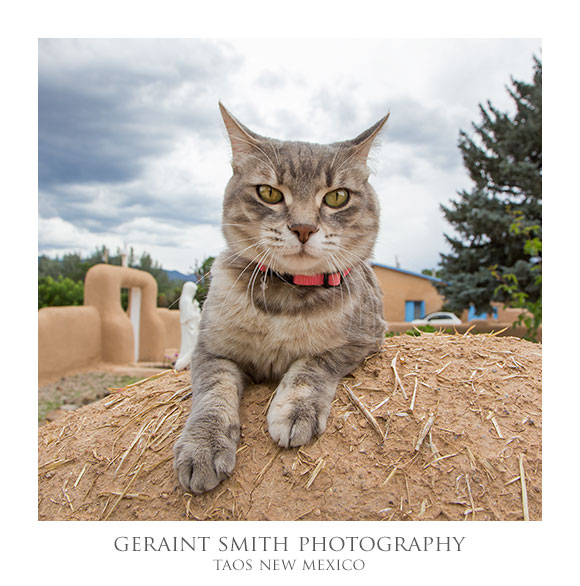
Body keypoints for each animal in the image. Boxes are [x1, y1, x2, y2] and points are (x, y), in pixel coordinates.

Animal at [172, 104, 390, 492]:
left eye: (337, 197)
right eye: (269, 193)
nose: (303, 228)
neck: (283, 298)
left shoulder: (364, 339)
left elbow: (312, 364)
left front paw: (295, 411)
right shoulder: (211, 350)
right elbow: (212, 393)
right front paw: (203, 446)